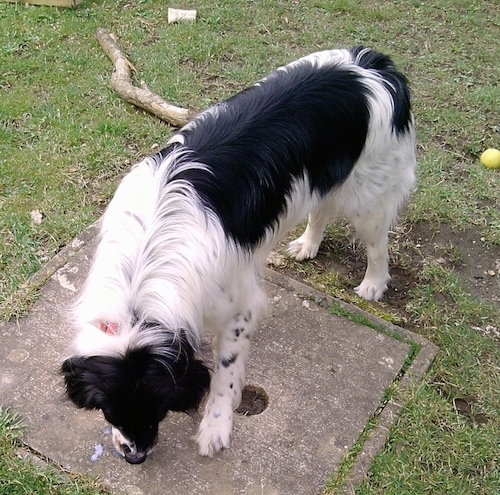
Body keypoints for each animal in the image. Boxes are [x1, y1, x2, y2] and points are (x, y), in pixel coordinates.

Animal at [60, 46, 416, 464]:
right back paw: (308, 245)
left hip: (368, 197)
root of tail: (373, 64)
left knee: (377, 242)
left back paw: (374, 284)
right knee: (321, 208)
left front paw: (215, 427)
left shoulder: (237, 308)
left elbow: (225, 375)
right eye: (109, 411)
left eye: (157, 410)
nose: (135, 457)